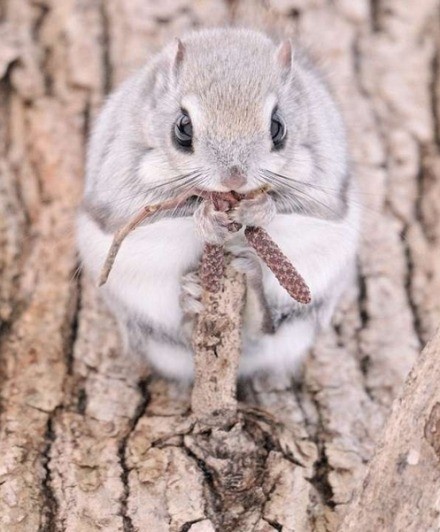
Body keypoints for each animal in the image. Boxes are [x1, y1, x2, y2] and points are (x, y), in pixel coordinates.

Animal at [77, 28, 360, 378]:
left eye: (278, 127)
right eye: (183, 127)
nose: (234, 179)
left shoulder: (323, 173)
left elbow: (298, 202)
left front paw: (259, 209)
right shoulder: (122, 172)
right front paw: (205, 218)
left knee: (267, 328)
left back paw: (251, 282)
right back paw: (191, 299)